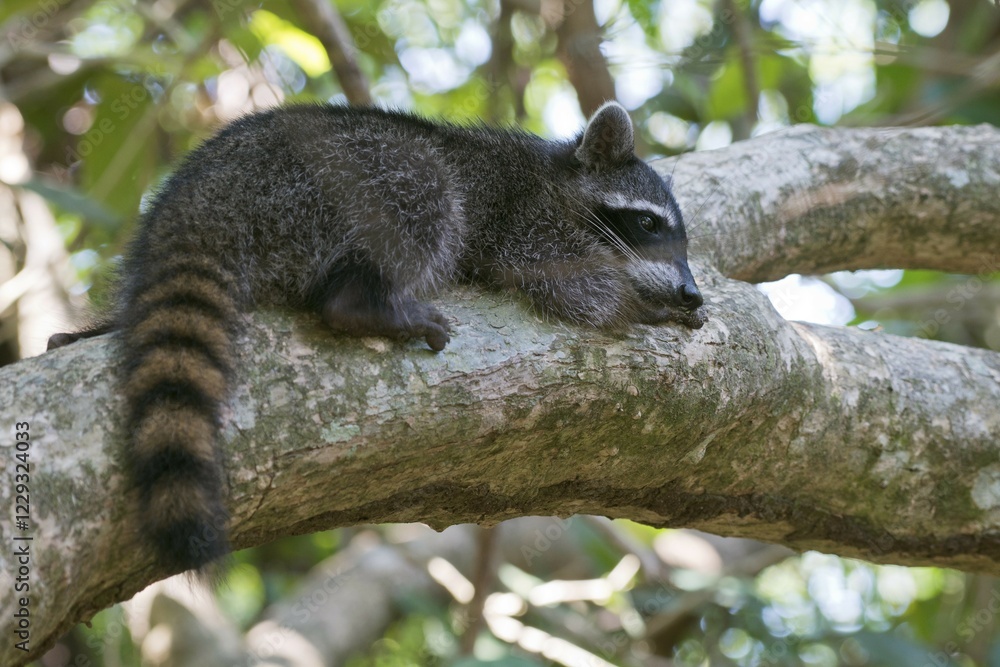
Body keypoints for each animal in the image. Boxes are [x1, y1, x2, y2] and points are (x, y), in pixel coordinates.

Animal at [49, 101, 706, 573]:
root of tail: (200, 197)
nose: (691, 294)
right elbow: (557, 277)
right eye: (648, 224)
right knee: (427, 184)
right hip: (330, 178)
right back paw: (362, 302)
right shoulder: (524, 217)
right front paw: (636, 307)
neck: (558, 177)